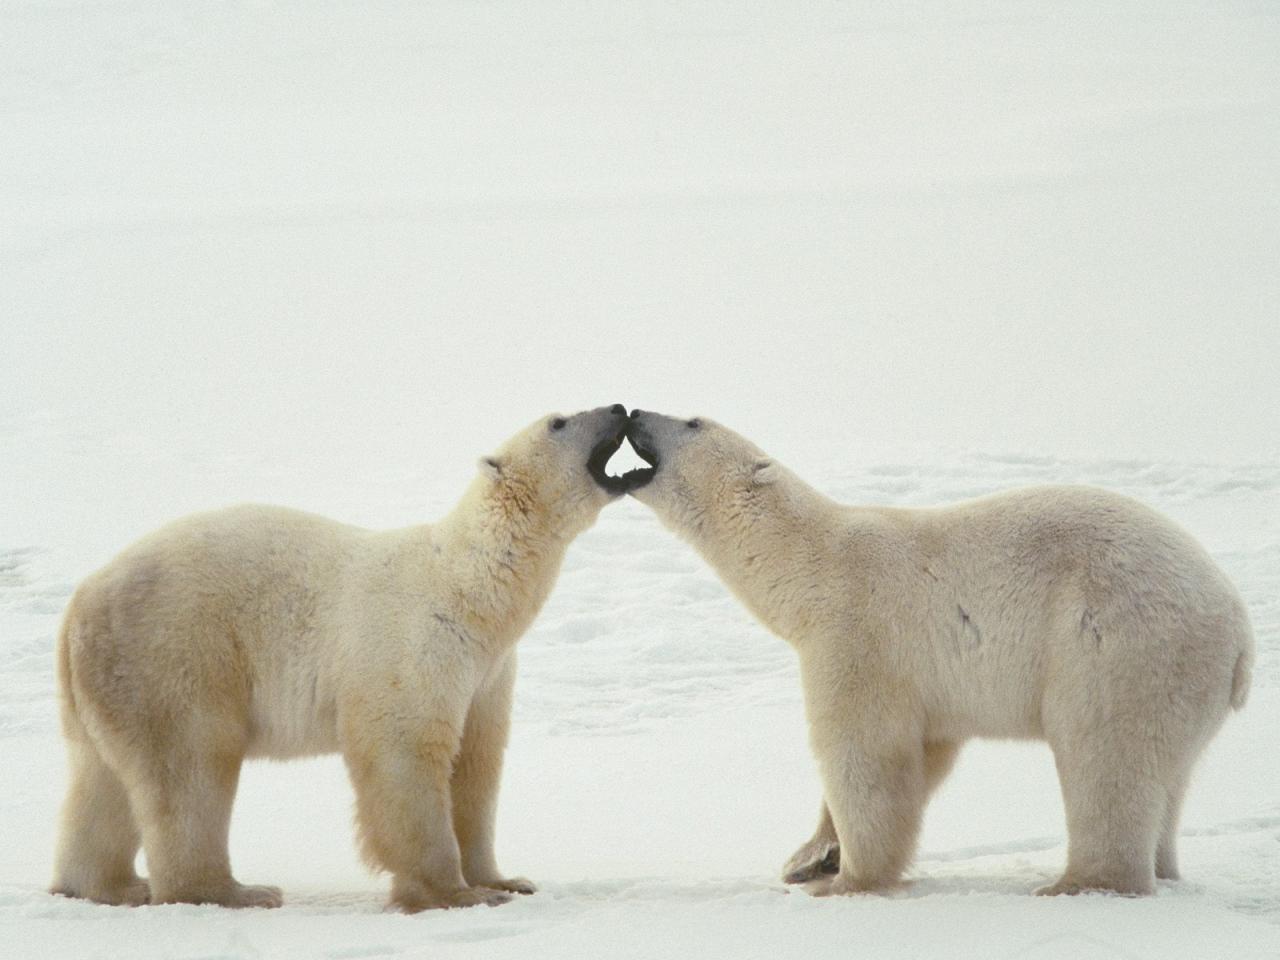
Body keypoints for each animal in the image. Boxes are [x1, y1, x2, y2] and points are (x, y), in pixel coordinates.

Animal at [49, 401, 640, 911]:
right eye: (559, 421)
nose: (618, 407)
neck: (469, 589)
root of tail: (80, 602)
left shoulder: (488, 671)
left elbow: (477, 762)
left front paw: (505, 880)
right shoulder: (414, 644)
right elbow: (406, 754)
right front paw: (454, 893)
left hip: (109, 681)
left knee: (100, 782)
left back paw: (107, 886)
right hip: (174, 653)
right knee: (190, 767)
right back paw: (233, 891)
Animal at [624, 409, 1254, 901]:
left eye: (692, 421)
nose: (633, 413)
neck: (810, 564)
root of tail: (1239, 629)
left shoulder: (859, 634)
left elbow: (866, 756)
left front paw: (847, 879)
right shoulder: (927, 682)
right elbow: (926, 752)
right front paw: (809, 857)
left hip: (1119, 645)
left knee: (1105, 757)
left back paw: (1078, 882)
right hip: (1179, 680)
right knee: (1169, 778)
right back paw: (1162, 868)